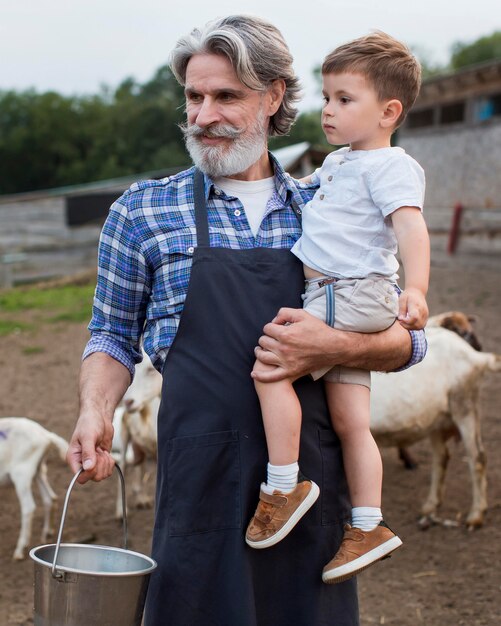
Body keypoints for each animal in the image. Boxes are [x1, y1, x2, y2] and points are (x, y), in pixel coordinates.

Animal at [0, 416, 68, 560]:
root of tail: (46, 435)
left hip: (22, 473)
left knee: (28, 507)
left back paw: (20, 549)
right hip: (39, 469)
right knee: (50, 498)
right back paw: (47, 533)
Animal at [370, 312, 498, 528]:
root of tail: (475, 356)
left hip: (464, 406)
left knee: (477, 457)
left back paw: (476, 515)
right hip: (437, 418)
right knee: (442, 457)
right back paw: (430, 507)